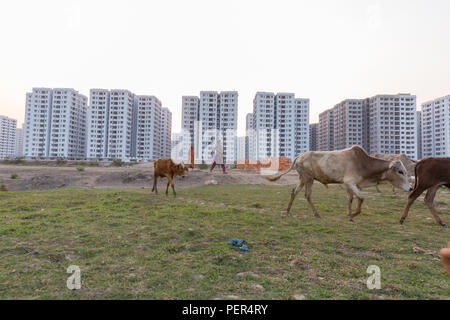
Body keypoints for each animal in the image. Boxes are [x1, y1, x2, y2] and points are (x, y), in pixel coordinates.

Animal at [266, 146, 414, 221]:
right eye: (400, 171)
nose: (411, 187)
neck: (363, 164)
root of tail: (299, 156)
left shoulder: (350, 185)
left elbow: (351, 199)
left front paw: (349, 214)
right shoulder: (350, 182)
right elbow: (361, 198)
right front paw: (353, 215)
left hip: (303, 179)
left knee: (294, 192)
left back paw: (288, 211)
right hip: (308, 179)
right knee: (307, 195)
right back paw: (316, 214)